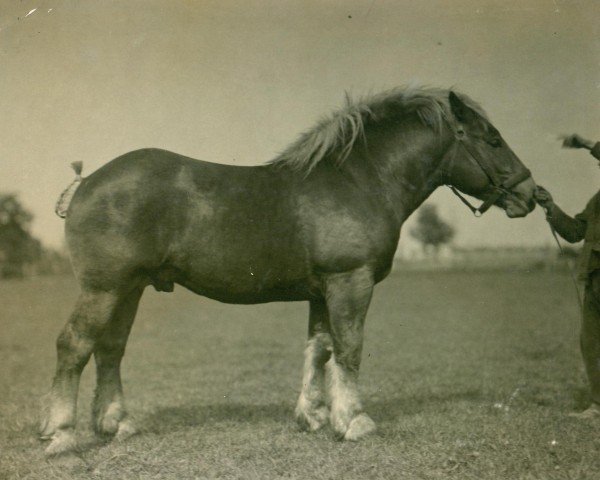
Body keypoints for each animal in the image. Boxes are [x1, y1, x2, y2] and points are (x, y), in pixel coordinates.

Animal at [43, 87, 540, 454]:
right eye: (493, 141)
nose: (530, 194)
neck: (359, 181)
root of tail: (85, 182)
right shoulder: (350, 282)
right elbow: (349, 349)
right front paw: (354, 421)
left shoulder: (322, 292)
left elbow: (319, 349)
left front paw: (314, 416)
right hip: (104, 289)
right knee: (74, 345)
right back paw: (61, 435)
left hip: (130, 289)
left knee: (110, 349)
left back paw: (117, 424)